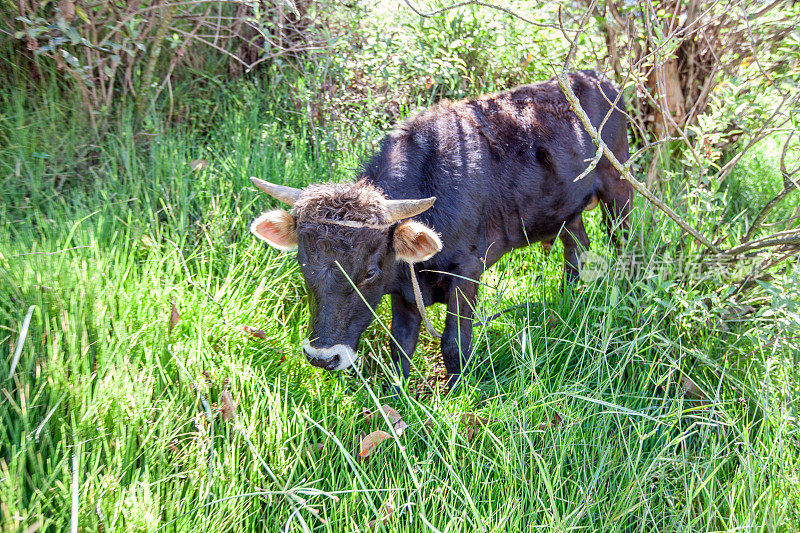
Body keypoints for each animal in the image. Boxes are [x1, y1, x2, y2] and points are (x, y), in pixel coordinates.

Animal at [248, 69, 632, 386]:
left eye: (370, 272)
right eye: (303, 264)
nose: (323, 357)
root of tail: (597, 77)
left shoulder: (467, 272)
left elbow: (454, 343)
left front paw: (457, 392)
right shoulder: (404, 287)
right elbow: (401, 346)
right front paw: (395, 399)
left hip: (619, 186)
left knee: (626, 242)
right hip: (563, 211)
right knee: (577, 248)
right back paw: (566, 299)